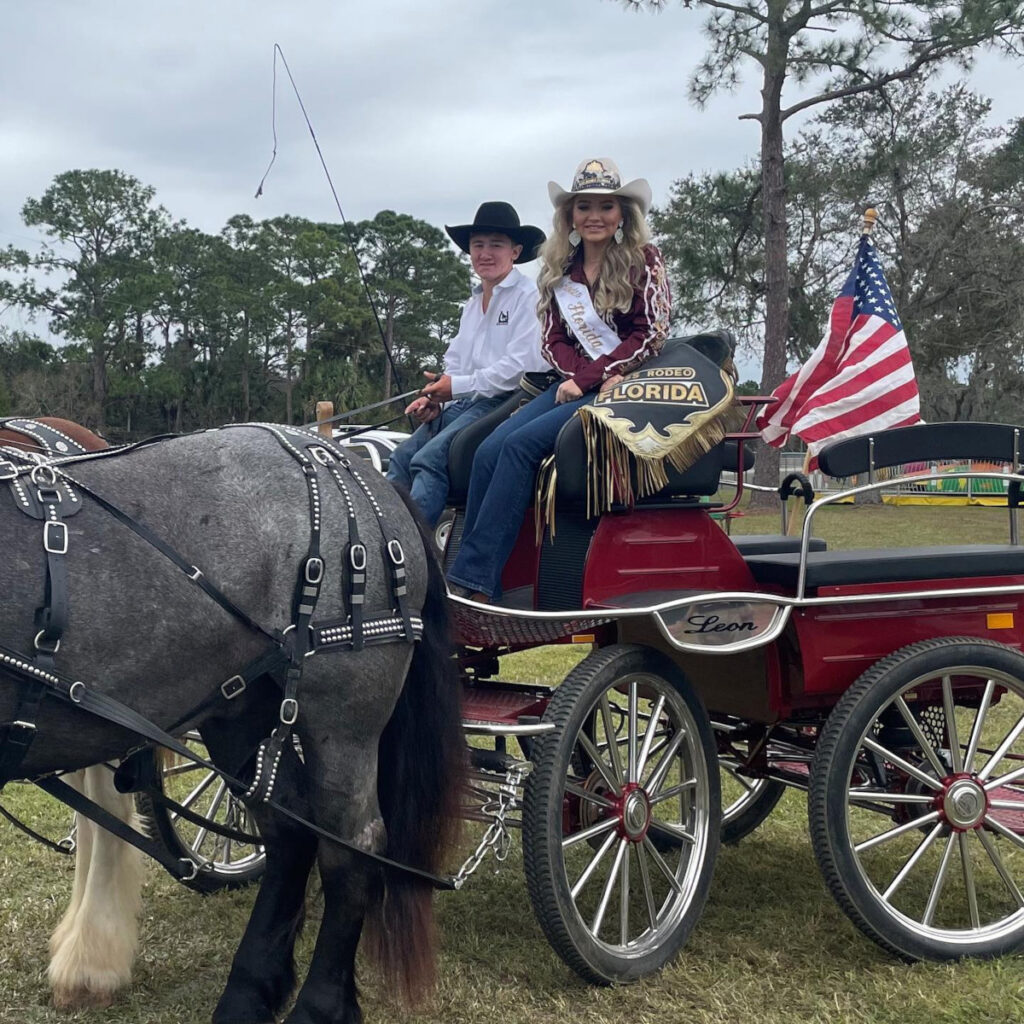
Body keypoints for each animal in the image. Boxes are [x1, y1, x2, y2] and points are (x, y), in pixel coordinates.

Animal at [0, 419, 464, 1019]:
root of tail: (352, 464)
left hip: (343, 724)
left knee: (351, 848)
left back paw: (317, 1007)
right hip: (237, 710)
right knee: (289, 830)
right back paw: (247, 991)